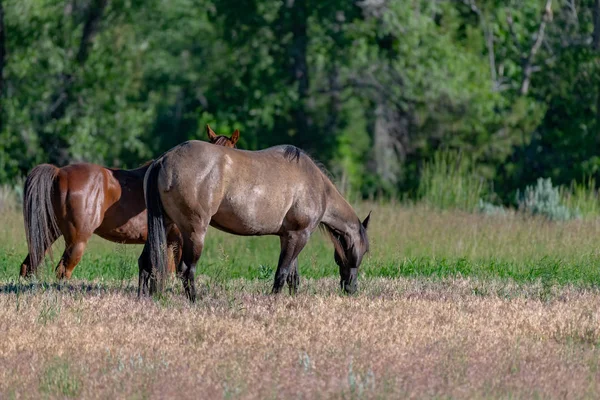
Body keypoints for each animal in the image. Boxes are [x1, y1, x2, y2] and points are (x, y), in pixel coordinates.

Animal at [19, 126, 239, 280]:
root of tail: (59, 172)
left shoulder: (168, 242)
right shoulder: (177, 241)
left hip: (48, 232)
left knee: (28, 266)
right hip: (76, 240)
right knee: (62, 271)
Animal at [141, 141, 370, 300]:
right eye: (365, 250)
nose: (351, 288)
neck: (316, 185)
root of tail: (165, 159)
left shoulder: (289, 236)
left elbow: (293, 277)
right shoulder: (299, 235)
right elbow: (282, 273)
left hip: (166, 226)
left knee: (148, 263)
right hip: (193, 232)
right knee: (187, 270)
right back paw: (195, 302)